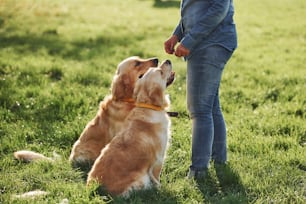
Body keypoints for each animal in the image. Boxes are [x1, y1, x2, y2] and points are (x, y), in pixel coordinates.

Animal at [87, 59, 176, 198]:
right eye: (160, 72)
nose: (168, 60)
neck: (148, 107)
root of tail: (98, 191)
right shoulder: (159, 158)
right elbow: (157, 178)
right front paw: (160, 188)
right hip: (141, 180)